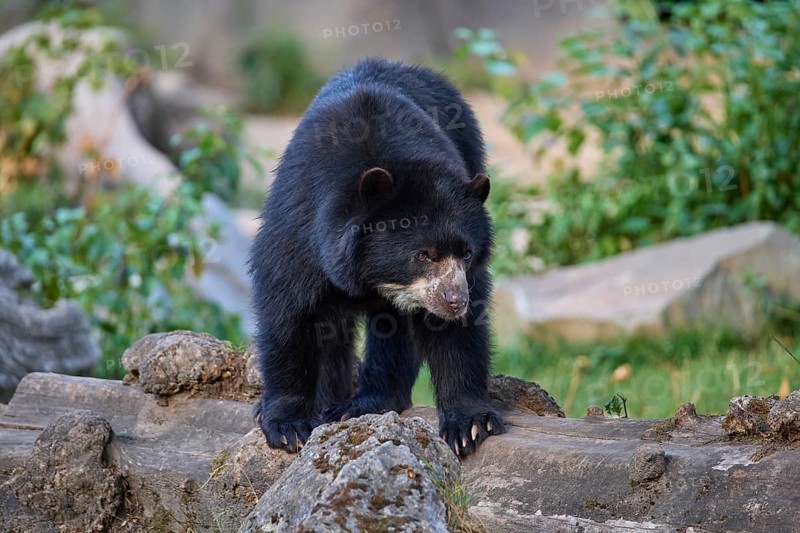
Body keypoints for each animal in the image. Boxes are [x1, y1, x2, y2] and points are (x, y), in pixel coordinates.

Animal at [249, 57, 504, 457]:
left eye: (465, 253)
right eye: (422, 254)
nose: (454, 301)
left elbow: (455, 337)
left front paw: (470, 425)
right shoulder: (301, 223)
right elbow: (287, 307)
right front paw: (287, 425)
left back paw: (364, 403)